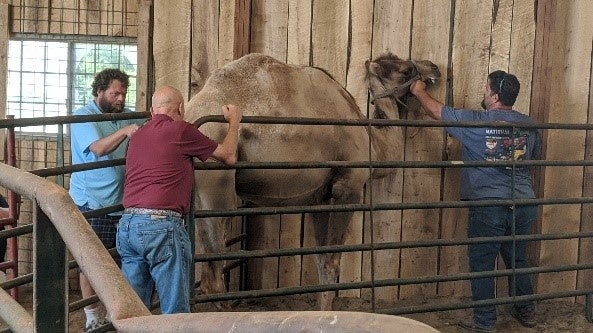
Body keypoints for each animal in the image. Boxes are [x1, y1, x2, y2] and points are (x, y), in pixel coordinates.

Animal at [185, 52, 440, 308]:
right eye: (406, 70)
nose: (434, 67)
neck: (373, 143)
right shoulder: (348, 186)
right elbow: (332, 261)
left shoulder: (321, 197)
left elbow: (321, 259)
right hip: (217, 187)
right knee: (213, 278)